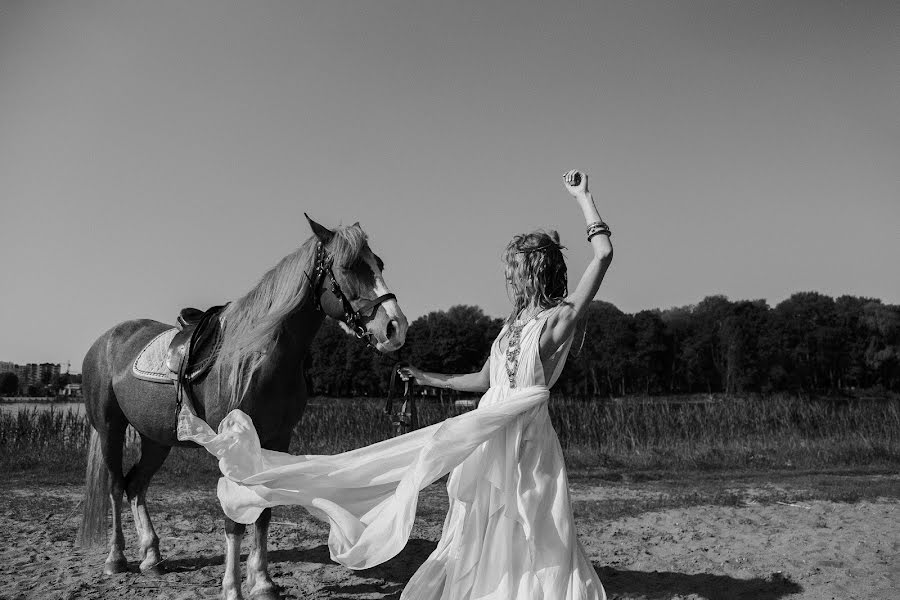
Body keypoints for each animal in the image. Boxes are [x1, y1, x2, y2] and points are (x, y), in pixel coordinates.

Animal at [77, 217, 408, 600]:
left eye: (379, 264)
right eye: (348, 266)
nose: (395, 327)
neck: (260, 355)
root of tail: (106, 341)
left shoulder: (276, 440)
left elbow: (263, 511)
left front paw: (262, 582)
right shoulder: (233, 445)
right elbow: (234, 520)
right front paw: (233, 587)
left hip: (156, 439)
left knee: (135, 486)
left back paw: (152, 557)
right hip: (110, 430)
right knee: (116, 487)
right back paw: (116, 559)